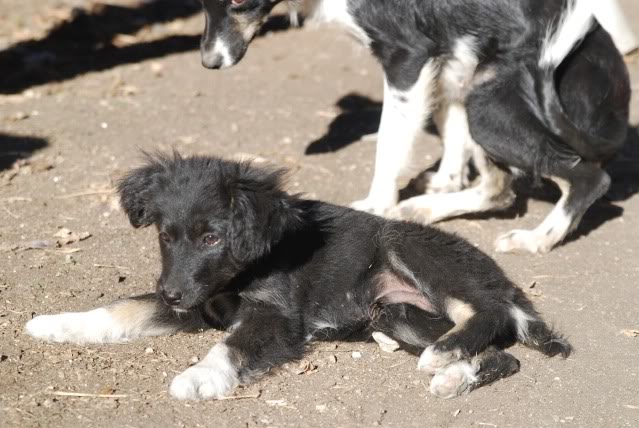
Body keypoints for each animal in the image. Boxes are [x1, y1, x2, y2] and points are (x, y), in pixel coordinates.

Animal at [26, 155, 576, 400]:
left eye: (212, 238)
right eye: (165, 235)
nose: (173, 293)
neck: (247, 265)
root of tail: (502, 280)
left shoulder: (275, 316)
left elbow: (229, 347)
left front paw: (198, 376)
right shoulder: (199, 299)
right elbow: (121, 308)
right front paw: (57, 324)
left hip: (411, 249)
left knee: (487, 314)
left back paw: (446, 357)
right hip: (397, 313)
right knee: (504, 355)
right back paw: (452, 375)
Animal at [195, 0, 632, 254]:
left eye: (239, 0)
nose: (209, 63)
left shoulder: (408, 57)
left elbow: (389, 145)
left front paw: (376, 207)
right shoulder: (446, 58)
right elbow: (449, 134)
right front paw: (444, 180)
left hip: (489, 106)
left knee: (587, 180)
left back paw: (537, 238)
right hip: (475, 83)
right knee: (498, 188)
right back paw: (426, 207)